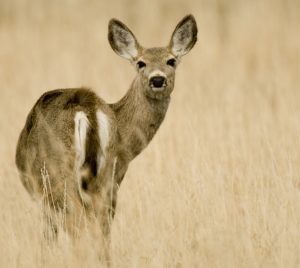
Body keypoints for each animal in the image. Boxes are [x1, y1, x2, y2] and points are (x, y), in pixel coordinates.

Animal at [15, 14, 198, 242]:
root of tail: (88, 107)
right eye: (141, 63)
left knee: (78, 227)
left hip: (58, 175)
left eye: (171, 61)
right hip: (103, 177)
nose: (157, 79)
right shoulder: (117, 174)